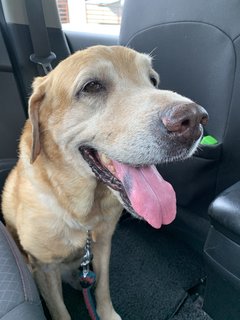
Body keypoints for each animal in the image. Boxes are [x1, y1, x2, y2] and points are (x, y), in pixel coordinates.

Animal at [1, 45, 208, 320]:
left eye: (153, 80)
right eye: (92, 86)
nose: (194, 120)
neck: (81, 213)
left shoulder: (103, 245)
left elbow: (102, 287)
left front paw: (107, 313)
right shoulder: (45, 268)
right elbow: (60, 311)